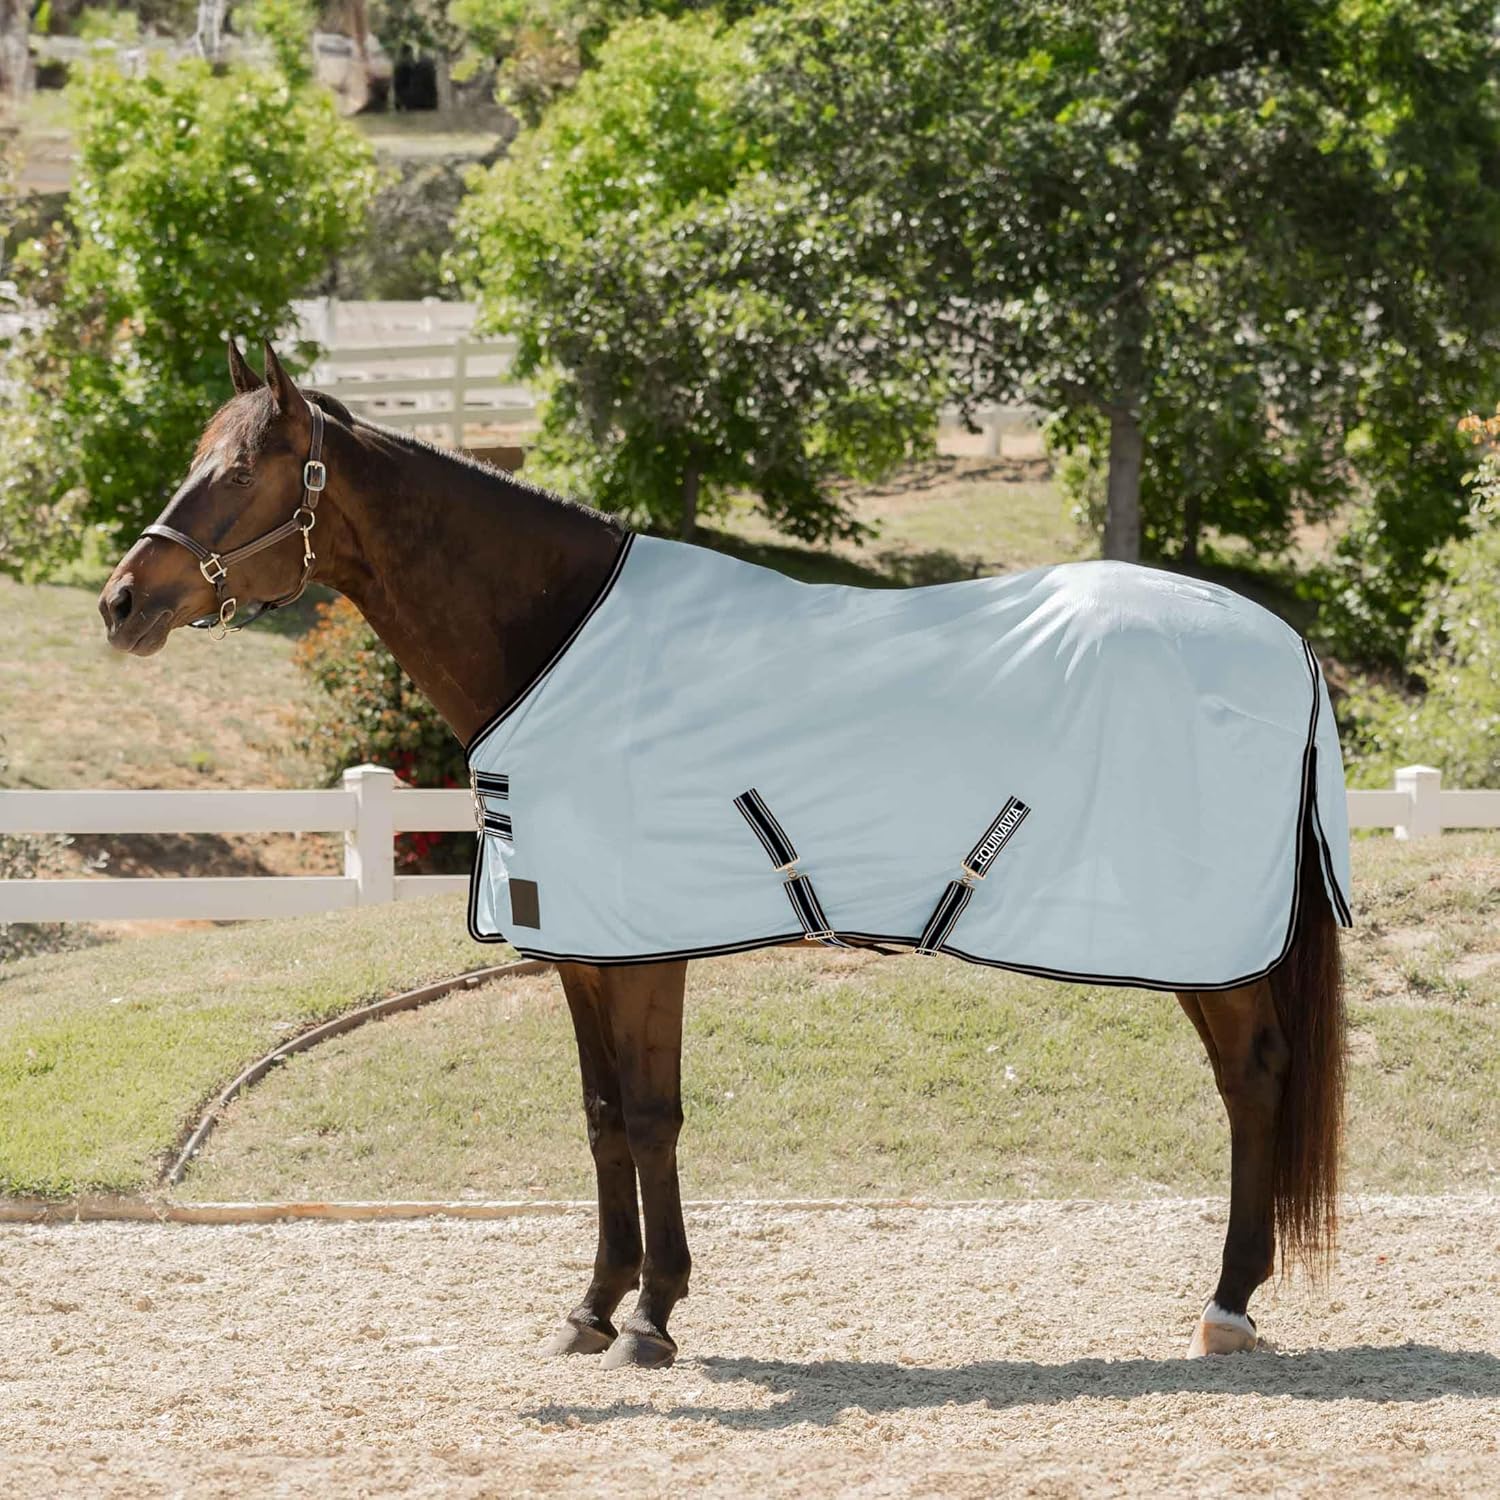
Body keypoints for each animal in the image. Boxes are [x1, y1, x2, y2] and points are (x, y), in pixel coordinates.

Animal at [98, 340, 1347, 1369]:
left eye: (242, 471)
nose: (121, 602)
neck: (559, 643)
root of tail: (1285, 642)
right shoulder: (584, 950)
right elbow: (603, 1117)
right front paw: (593, 1308)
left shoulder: (652, 949)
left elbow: (653, 1116)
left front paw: (652, 1317)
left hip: (1204, 941)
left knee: (1254, 1075)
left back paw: (1228, 1305)